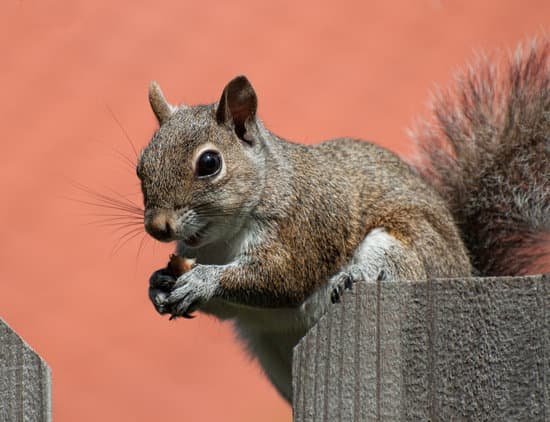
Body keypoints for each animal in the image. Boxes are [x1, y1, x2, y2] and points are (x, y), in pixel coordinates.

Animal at [137, 39, 548, 402]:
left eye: (209, 163)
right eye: (141, 165)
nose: (158, 227)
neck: (222, 238)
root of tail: (468, 270)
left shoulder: (306, 224)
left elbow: (283, 278)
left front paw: (202, 280)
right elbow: (228, 306)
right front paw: (159, 284)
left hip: (407, 247)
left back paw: (357, 276)